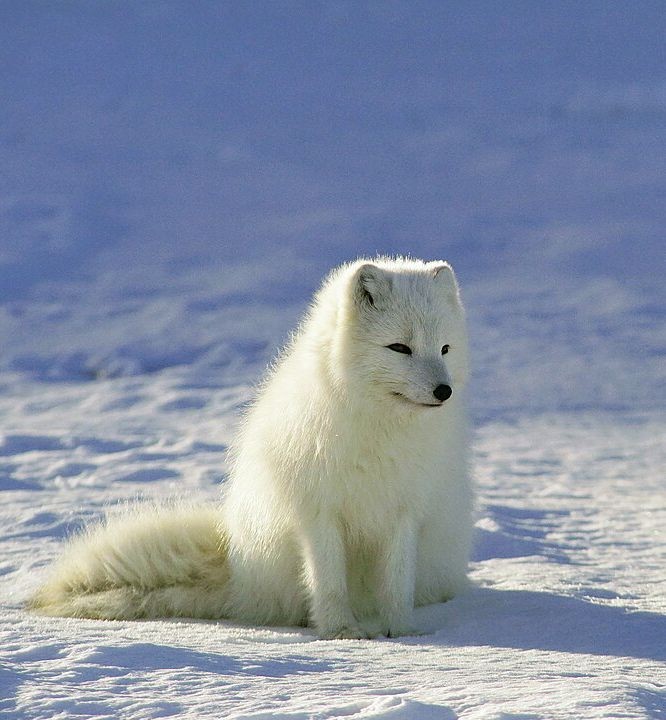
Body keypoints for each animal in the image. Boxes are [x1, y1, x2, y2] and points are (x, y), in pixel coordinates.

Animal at [28, 256, 470, 640]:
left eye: (445, 349)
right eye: (400, 348)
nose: (443, 391)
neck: (380, 431)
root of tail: (239, 572)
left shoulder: (404, 511)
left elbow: (397, 583)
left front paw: (402, 632)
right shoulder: (317, 512)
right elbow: (328, 582)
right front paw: (341, 632)